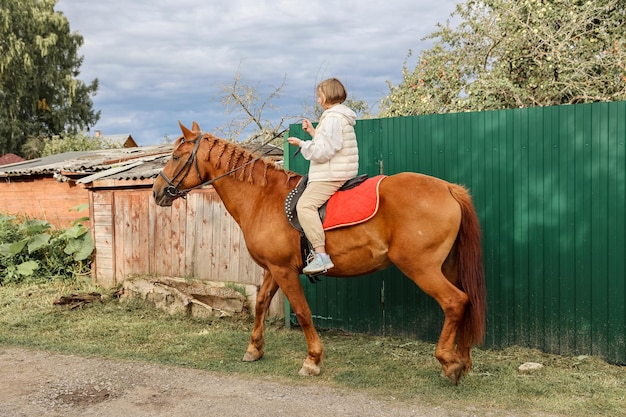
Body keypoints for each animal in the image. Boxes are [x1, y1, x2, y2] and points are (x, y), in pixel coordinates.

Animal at [154, 120, 486, 384]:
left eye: (176, 157)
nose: (157, 191)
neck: (263, 198)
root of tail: (448, 188)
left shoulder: (284, 271)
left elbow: (302, 312)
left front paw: (312, 360)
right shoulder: (273, 269)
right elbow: (261, 304)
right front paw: (254, 348)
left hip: (421, 268)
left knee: (455, 302)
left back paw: (449, 362)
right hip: (447, 267)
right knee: (466, 303)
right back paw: (463, 360)